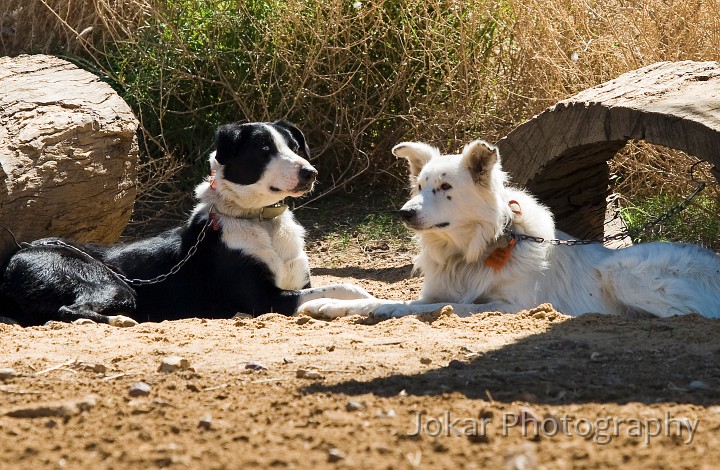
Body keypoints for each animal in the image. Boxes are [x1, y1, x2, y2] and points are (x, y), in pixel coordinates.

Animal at [0, 121, 372, 326]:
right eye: (265, 149)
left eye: (294, 146)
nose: (310, 173)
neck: (260, 222)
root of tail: (16, 255)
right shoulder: (266, 300)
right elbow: (345, 286)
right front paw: (359, 300)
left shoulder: (298, 282)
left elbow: (330, 290)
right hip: (112, 284)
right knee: (66, 310)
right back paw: (118, 320)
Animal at [298, 138, 720, 318]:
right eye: (418, 187)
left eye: (445, 188)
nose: (405, 213)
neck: (473, 250)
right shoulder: (437, 290)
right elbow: (384, 299)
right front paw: (329, 304)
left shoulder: (512, 305)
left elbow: (429, 306)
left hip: (622, 274)